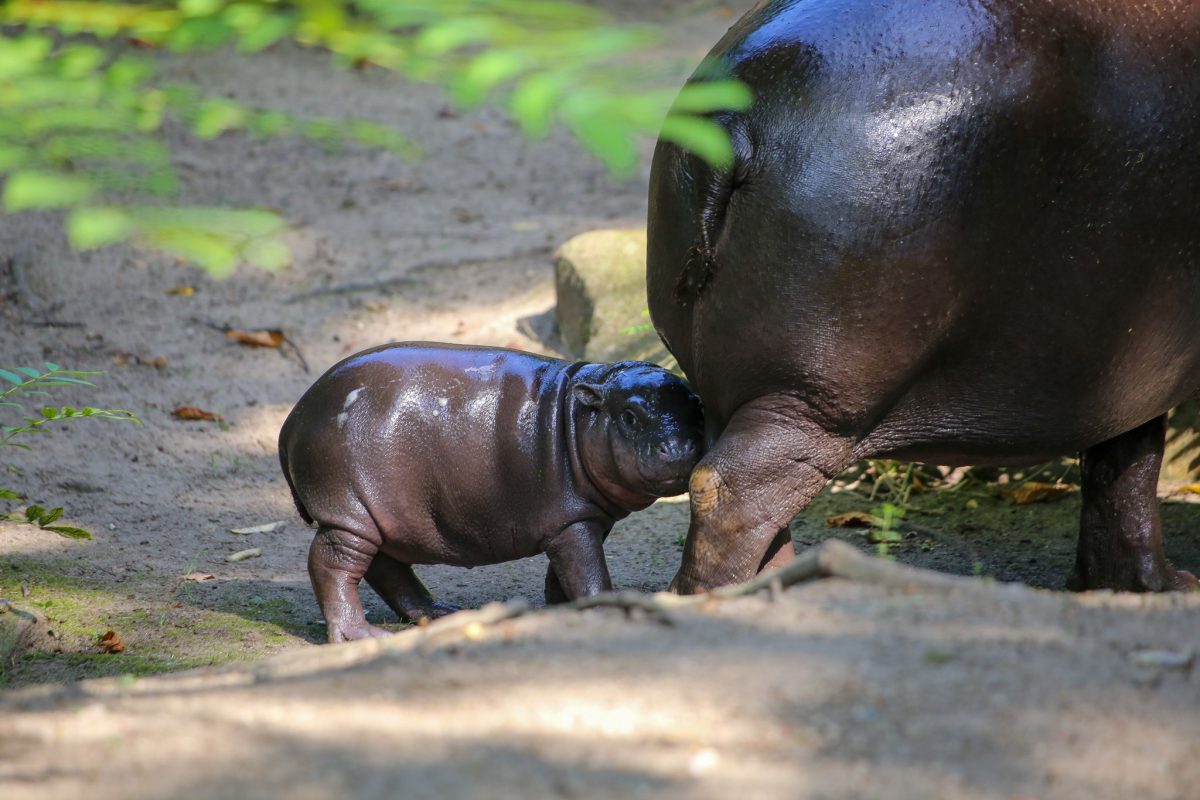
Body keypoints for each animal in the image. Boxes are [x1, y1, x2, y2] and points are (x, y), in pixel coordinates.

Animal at [278, 340, 700, 642]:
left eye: (697, 405)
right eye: (629, 416)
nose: (680, 448)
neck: (575, 416)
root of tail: (294, 417)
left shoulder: (580, 520)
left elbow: (565, 571)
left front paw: (559, 608)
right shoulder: (573, 521)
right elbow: (588, 571)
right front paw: (603, 610)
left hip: (384, 517)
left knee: (387, 567)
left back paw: (442, 613)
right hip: (349, 512)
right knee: (332, 563)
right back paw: (361, 635)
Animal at [652, 1, 1200, 594]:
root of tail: (731, 126)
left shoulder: (1126, 368)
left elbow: (1121, 467)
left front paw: (1128, 584)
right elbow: (1131, 465)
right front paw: (1173, 588)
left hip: (734, 385)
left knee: (747, 492)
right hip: (814, 398)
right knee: (731, 486)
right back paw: (732, 597)